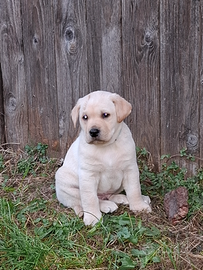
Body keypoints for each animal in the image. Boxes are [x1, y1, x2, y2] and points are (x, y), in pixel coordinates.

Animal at [55, 90, 151, 226]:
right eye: (85, 117)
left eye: (105, 115)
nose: (93, 132)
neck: (107, 146)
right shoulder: (88, 175)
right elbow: (90, 198)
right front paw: (92, 217)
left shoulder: (130, 169)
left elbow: (134, 189)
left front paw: (139, 206)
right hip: (65, 182)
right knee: (85, 199)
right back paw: (106, 205)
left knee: (111, 195)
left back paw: (126, 198)